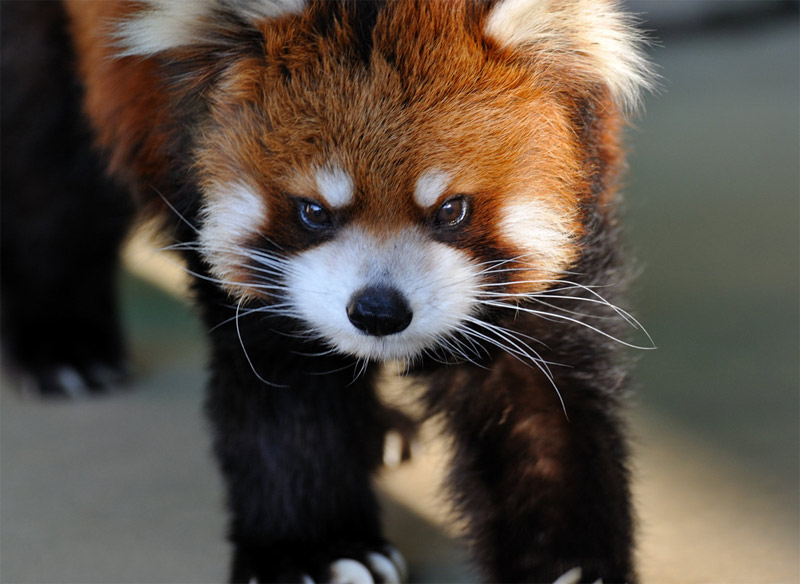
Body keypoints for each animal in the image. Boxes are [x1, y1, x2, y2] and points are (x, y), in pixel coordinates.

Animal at [1, 0, 648, 580]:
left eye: (451, 210)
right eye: (314, 212)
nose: (379, 312)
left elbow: (540, 395)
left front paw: (569, 562)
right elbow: (283, 388)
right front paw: (319, 550)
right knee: (53, 169)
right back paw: (66, 349)